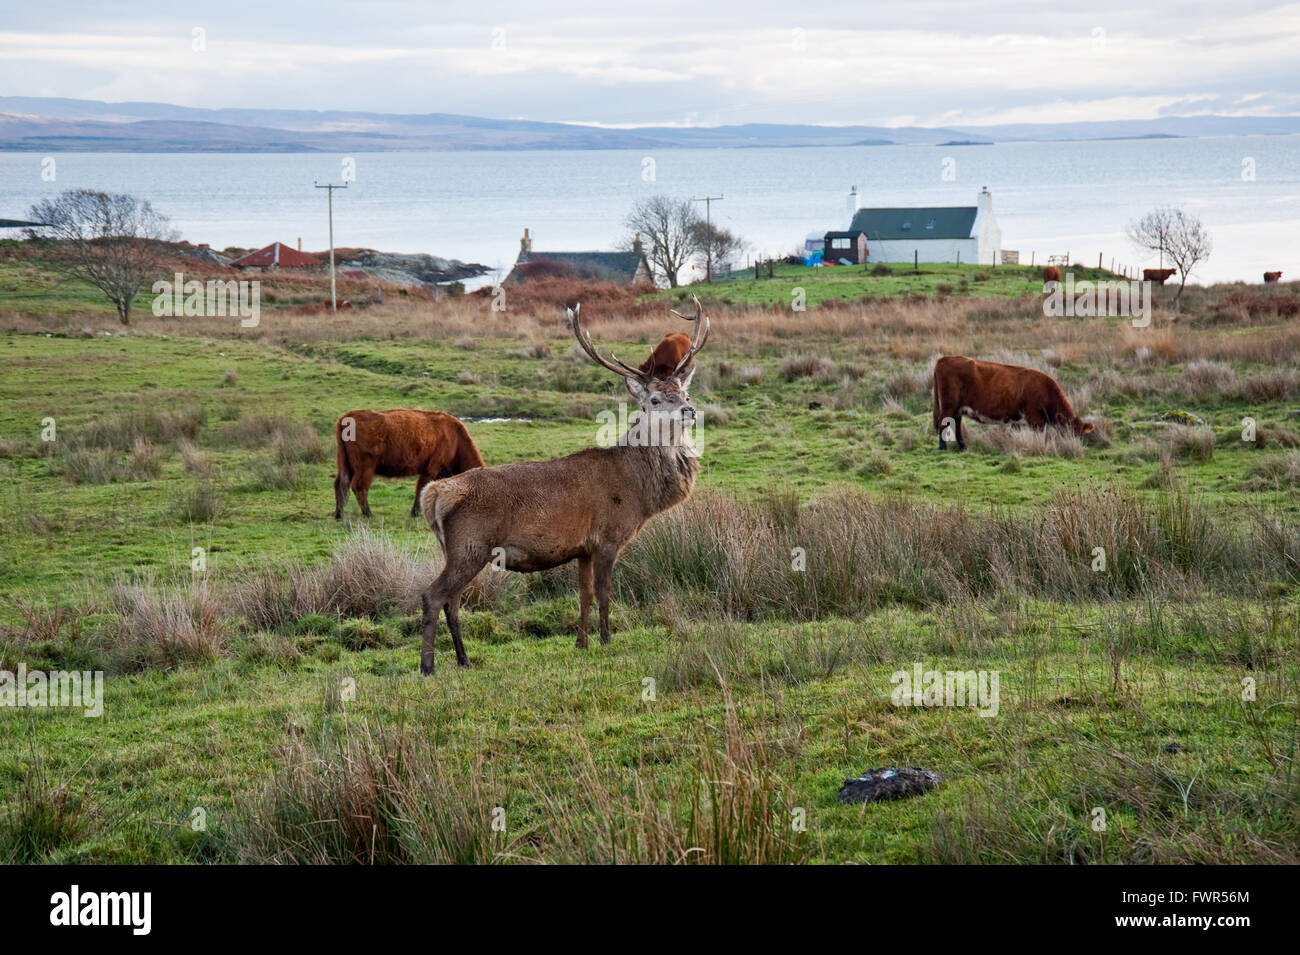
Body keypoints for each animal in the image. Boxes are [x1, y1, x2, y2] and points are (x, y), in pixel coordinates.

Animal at [335, 407, 488, 519]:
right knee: (359, 487)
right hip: (365, 467)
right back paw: (368, 514)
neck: (455, 439)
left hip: (346, 465)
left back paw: (339, 514)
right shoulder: (431, 469)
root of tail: (347, 417)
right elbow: (422, 489)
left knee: (340, 484)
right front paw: (415, 513)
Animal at [930, 356, 1092, 454]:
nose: (1074, 446)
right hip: (948, 406)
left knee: (956, 425)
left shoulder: (1017, 420)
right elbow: (1040, 436)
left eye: (1080, 435)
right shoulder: (1036, 419)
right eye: (1067, 431)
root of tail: (944, 359)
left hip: (957, 408)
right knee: (943, 423)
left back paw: (963, 447)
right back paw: (943, 447)